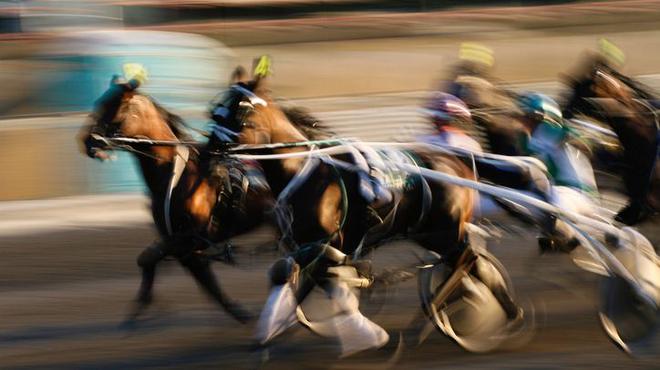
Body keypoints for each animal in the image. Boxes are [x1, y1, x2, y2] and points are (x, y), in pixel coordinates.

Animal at [77, 79, 274, 322]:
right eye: (99, 102)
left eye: (115, 107)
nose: (88, 141)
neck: (175, 174)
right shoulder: (180, 241)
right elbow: (204, 279)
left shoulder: (192, 238)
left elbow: (149, 258)